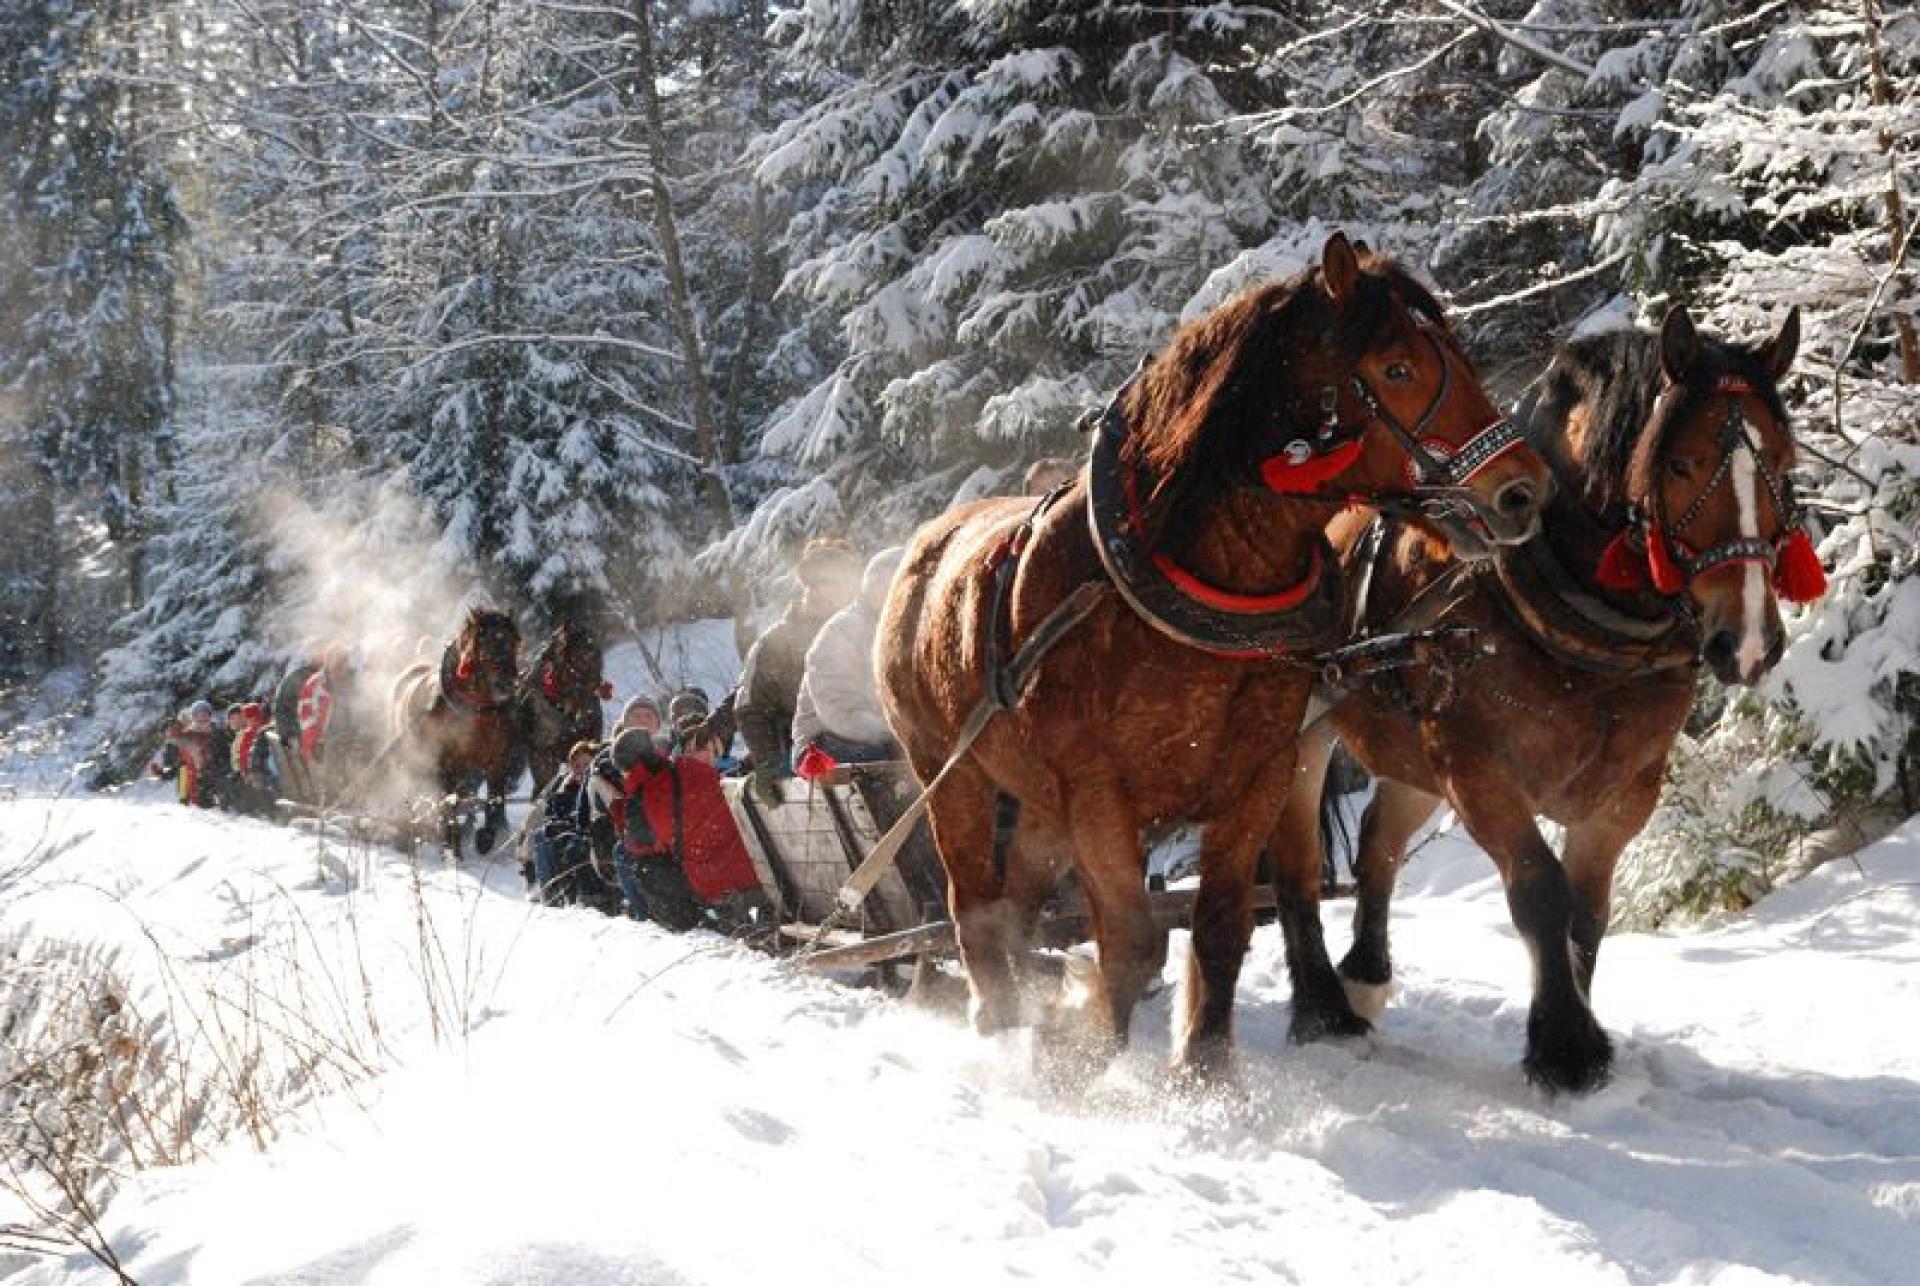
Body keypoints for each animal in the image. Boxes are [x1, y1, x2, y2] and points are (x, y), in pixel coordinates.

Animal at [389, 610, 526, 859]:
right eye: (486, 644)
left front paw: (485, 838)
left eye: (514, 642)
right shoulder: (446, 765)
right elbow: (448, 807)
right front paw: (452, 850)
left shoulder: (496, 765)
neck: (477, 713)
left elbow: (494, 802)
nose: (508, 685)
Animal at [879, 234, 1551, 1074]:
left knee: (1021, 903)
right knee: (973, 907)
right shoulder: (1098, 791)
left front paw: (1204, 1072)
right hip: (951, 774)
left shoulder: (1257, 774)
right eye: (1397, 367)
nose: (1524, 492)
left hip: (1035, 800)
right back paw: (999, 1023)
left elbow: (1221, 930)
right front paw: (1082, 1064)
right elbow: (1133, 942)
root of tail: (919, 549)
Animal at [1267, 305, 1820, 1097]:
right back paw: (1322, 1010)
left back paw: (1365, 978)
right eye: (1679, 464)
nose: (1746, 641)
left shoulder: (1625, 792)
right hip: (1307, 737)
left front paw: (1580, 1025)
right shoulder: (1480, 770)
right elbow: (1541, 894)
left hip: (1412, 756)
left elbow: (1588, 912)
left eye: (1783, 462)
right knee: (1297, 861)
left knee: (1378, 840)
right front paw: (1563, 1048)